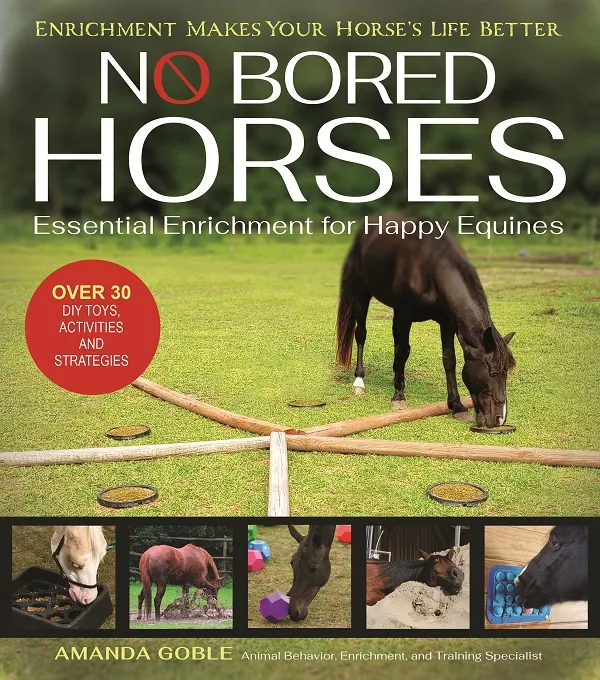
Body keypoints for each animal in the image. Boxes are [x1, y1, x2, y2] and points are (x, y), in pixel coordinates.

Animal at [336, 222, 516, 427]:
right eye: (493, 373)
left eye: (506, 372)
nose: (500, 418)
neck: (430, 270)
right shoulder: (404, 314)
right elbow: (403, 351)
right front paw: (398, 397)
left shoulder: (446, 322)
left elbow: (449, 360)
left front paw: (458, 406)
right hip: (361, 293)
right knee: (361, 334)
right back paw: (359, 381)